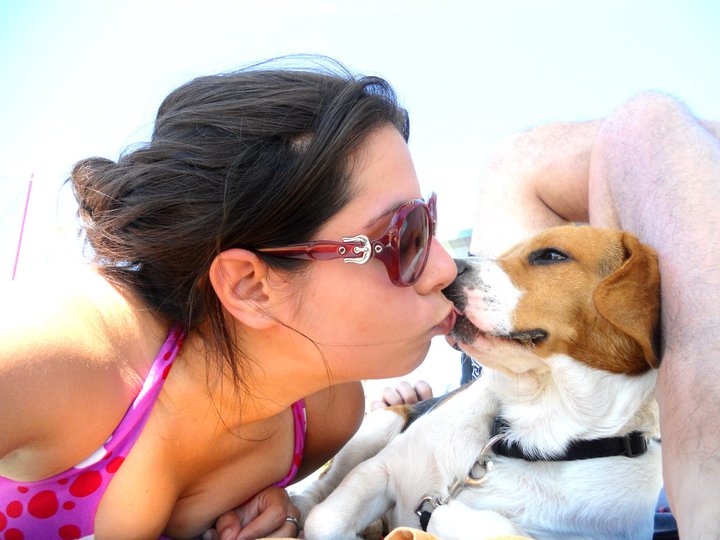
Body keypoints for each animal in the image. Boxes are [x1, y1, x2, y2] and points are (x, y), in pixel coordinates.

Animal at [293, 225, 663, 540]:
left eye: (552, 255)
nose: (446, 273)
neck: (532, 429)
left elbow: (488, 527)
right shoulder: (381, 468)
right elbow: (325, 520)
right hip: (380, 424)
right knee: (323, 488)